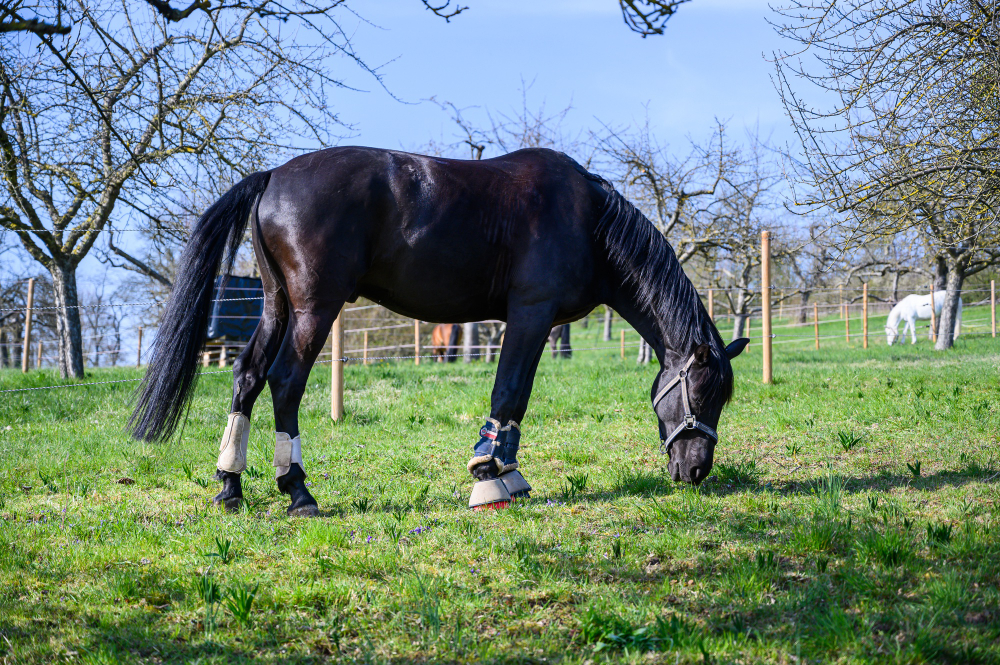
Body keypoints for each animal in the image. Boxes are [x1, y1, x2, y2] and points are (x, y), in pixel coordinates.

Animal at [129, 148, 748, 516]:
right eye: (700, 395)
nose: (697, 470)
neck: (588, 220)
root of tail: (272, 177)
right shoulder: (530, 314)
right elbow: (508, 393)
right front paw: (488, 477)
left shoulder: (534, 322)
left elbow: (517, 402)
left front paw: (510, 474)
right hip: (313, 309)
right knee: (285, 382)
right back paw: (298, 490)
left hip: (277, 306)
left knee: (248, 376)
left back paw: (229, 486)